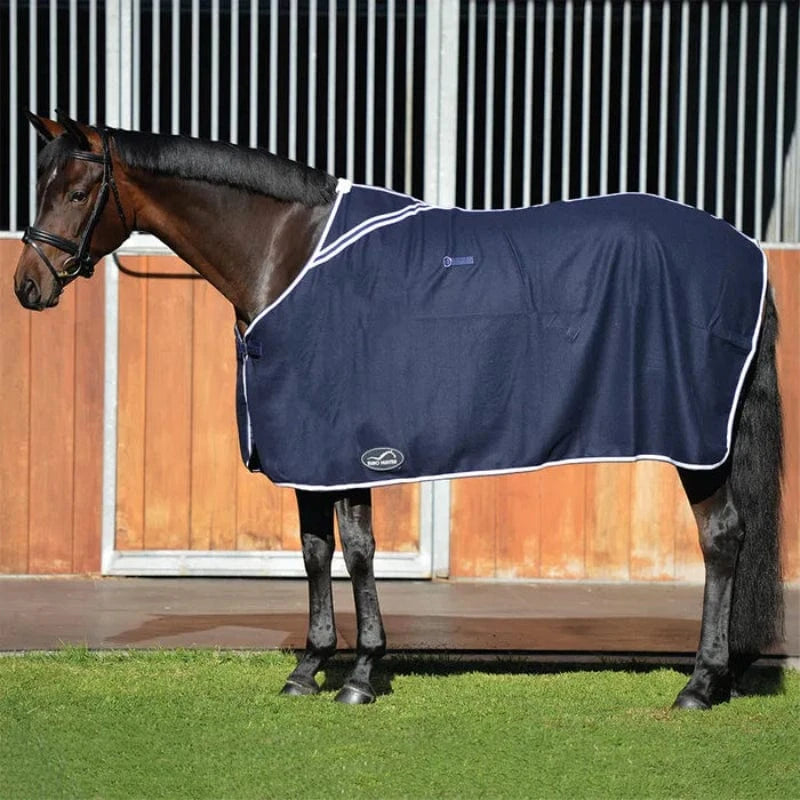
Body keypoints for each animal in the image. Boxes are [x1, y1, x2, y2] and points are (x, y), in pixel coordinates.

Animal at [14, 112, 783, 709]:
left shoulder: (348, 445)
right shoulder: (310, 452)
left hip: (696, 441)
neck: (285, 250)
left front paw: (360, 674)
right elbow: (315, 551)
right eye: (41, 185)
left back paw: (699, 685)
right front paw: (309, 668)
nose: (27, 286)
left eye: (78, 191)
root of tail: (745, 249)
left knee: (721, 539)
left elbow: (356, 551)